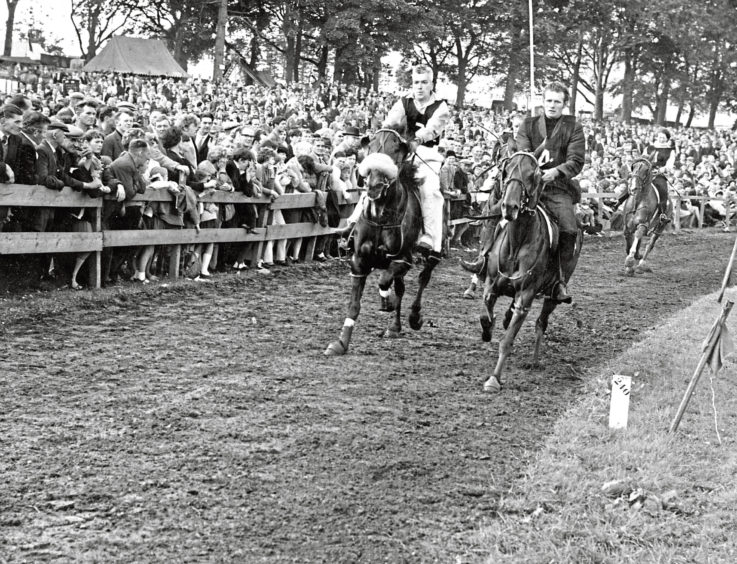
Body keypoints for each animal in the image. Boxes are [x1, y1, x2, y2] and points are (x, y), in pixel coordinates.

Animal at [324, 130, 440, 354]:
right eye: (370, 148)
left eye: (395, 150)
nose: (374, 187)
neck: (381, 217)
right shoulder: (359, 261)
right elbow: (354, 305)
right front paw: (341, 343)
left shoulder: (403, 259)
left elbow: (383, 281)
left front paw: (387, 302)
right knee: (401, 287)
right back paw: (394, 327)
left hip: (432, 254)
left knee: (423, 278)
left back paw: (414, 317)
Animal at [480, 153, 584, 392]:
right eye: (507, 170)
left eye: (532, 174)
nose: (509, 206)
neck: (518, 240)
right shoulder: (491, 284)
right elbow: (487, 311)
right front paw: (488, 329)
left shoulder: (526, 296)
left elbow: (508, 340)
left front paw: (494, 379)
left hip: (553, 295)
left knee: (541, 323)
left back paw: (535, 361)